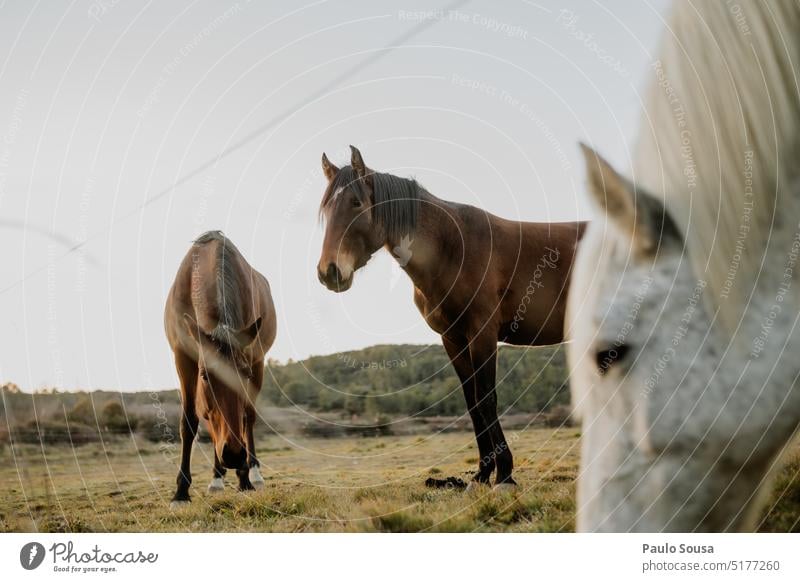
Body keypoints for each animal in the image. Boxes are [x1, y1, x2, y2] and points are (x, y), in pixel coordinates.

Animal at [164, 232, 276, 506]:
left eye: (245, 375)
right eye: (206, 376)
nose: (234, 454)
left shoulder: (253, 360)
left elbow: (244, 416)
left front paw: (245, 479)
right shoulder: (184, 358)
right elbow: (190, 421)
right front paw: (181, 491)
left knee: (248, 418)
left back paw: (252, 473)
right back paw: (217, 477)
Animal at [318, 148, 588, 490]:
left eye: (356, 203)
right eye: (327, 207)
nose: (329, 272)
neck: (452, 247)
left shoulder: (482, 333)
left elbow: (486, 399)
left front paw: (505, 475)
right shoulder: (453, 339)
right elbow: (472, 404)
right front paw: (482, 474)